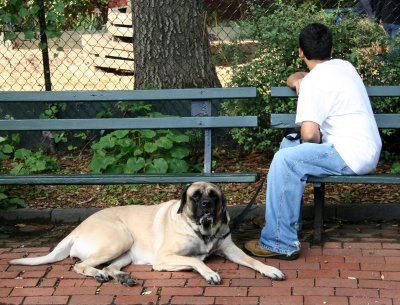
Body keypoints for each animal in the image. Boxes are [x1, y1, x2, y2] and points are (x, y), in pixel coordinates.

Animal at [9, 182, 284, 284]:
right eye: (195, 197)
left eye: (213, 196)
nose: (206, 205)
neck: (201, 231)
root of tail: (76, 229)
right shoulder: (164, 258)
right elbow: (195, 260)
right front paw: (209, 272)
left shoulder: (230, 249)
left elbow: (252, 261)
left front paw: (269, 269)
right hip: (119, 238)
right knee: (80, 265)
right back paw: (98, 274)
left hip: (125, 252)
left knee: (110, 266)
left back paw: (121, 277)